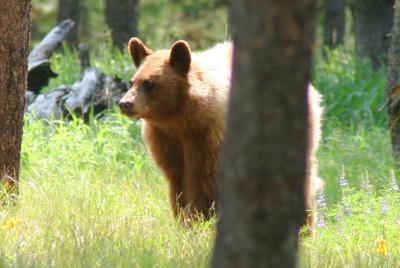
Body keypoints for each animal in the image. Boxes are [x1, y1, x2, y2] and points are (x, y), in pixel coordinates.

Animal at [119, 37, 322, 232]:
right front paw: (182, 220)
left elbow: (204, 181)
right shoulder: (166, 140)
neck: (179, 120)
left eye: (149, 83)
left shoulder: (207, 136)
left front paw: (198, 221)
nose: (125, 103)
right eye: (132, 81)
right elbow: (177, 181)